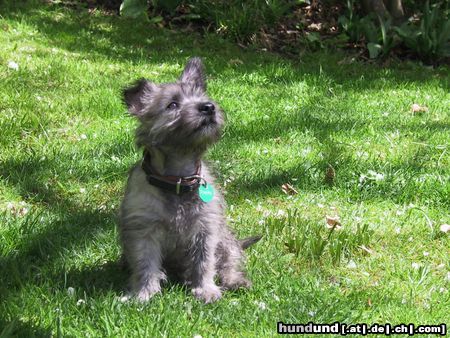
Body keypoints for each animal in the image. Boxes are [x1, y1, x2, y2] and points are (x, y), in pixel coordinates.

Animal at [118, 56, 262, 302]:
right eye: (172, 105)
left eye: (201, 96)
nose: (208, 107)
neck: (178, 178)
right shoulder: (144, 232)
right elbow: (145, 264)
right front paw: (144, 293)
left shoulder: (206, 230)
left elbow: (204, 263)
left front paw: (205, 289)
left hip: (225, 240)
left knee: (229, 262)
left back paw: (235, 281)